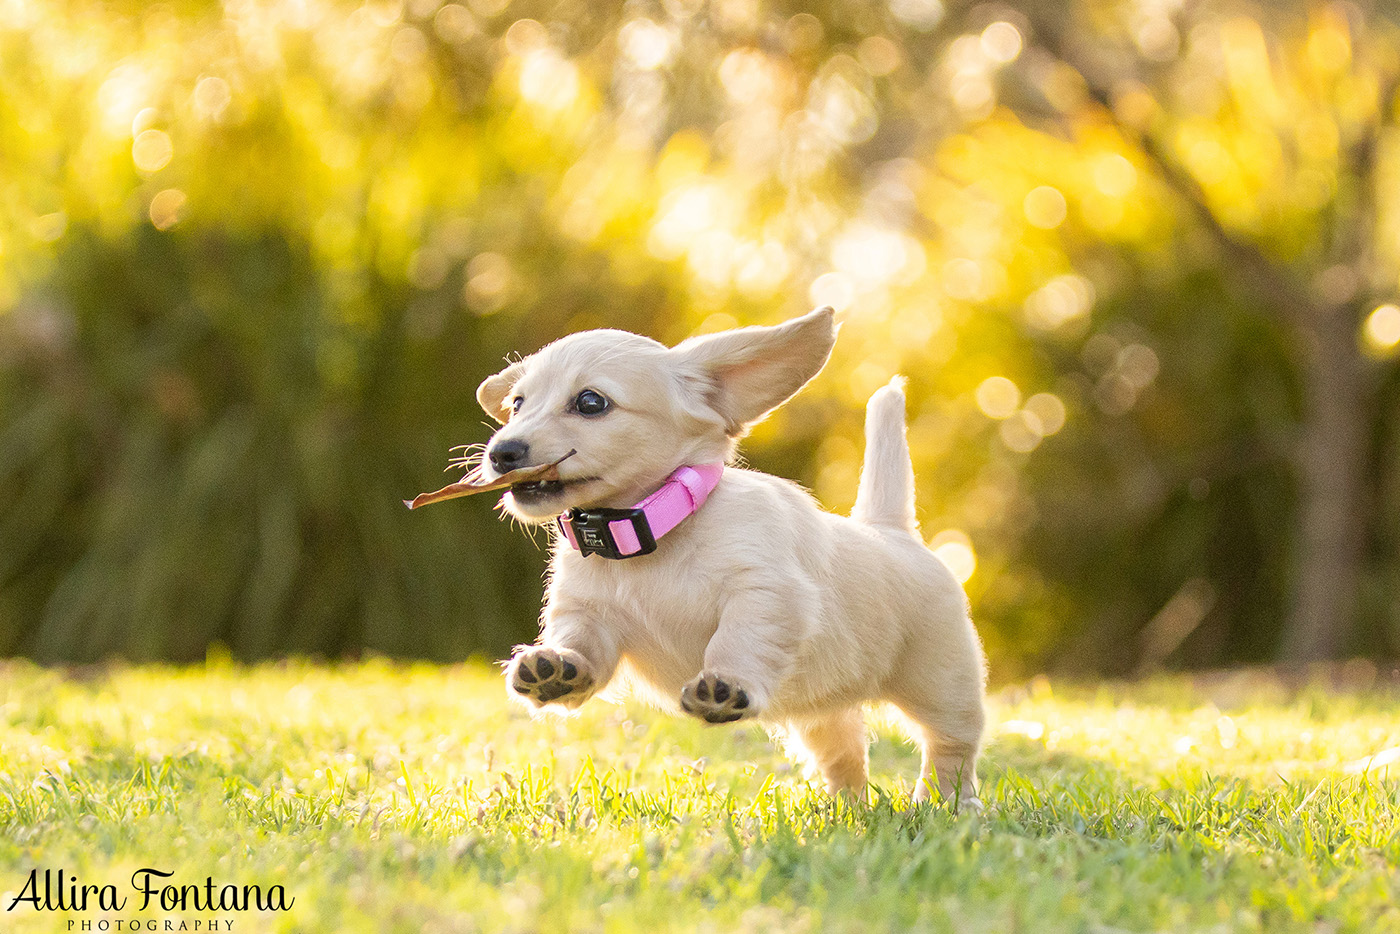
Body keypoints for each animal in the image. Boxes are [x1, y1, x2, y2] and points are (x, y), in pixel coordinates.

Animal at [476, 308, 991, 812]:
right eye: (518, 404)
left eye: (590, 402)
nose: (502, 452)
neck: (650, 536)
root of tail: (890, 528)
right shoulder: (587, 615)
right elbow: (581, 648)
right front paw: (554, 668)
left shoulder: (765, 592)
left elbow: (738, 640)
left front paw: (723, 687)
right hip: (823, 712)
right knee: (845, 758)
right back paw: (847, 812)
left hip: (942, 683)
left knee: (952, 747)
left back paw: (945, 804)